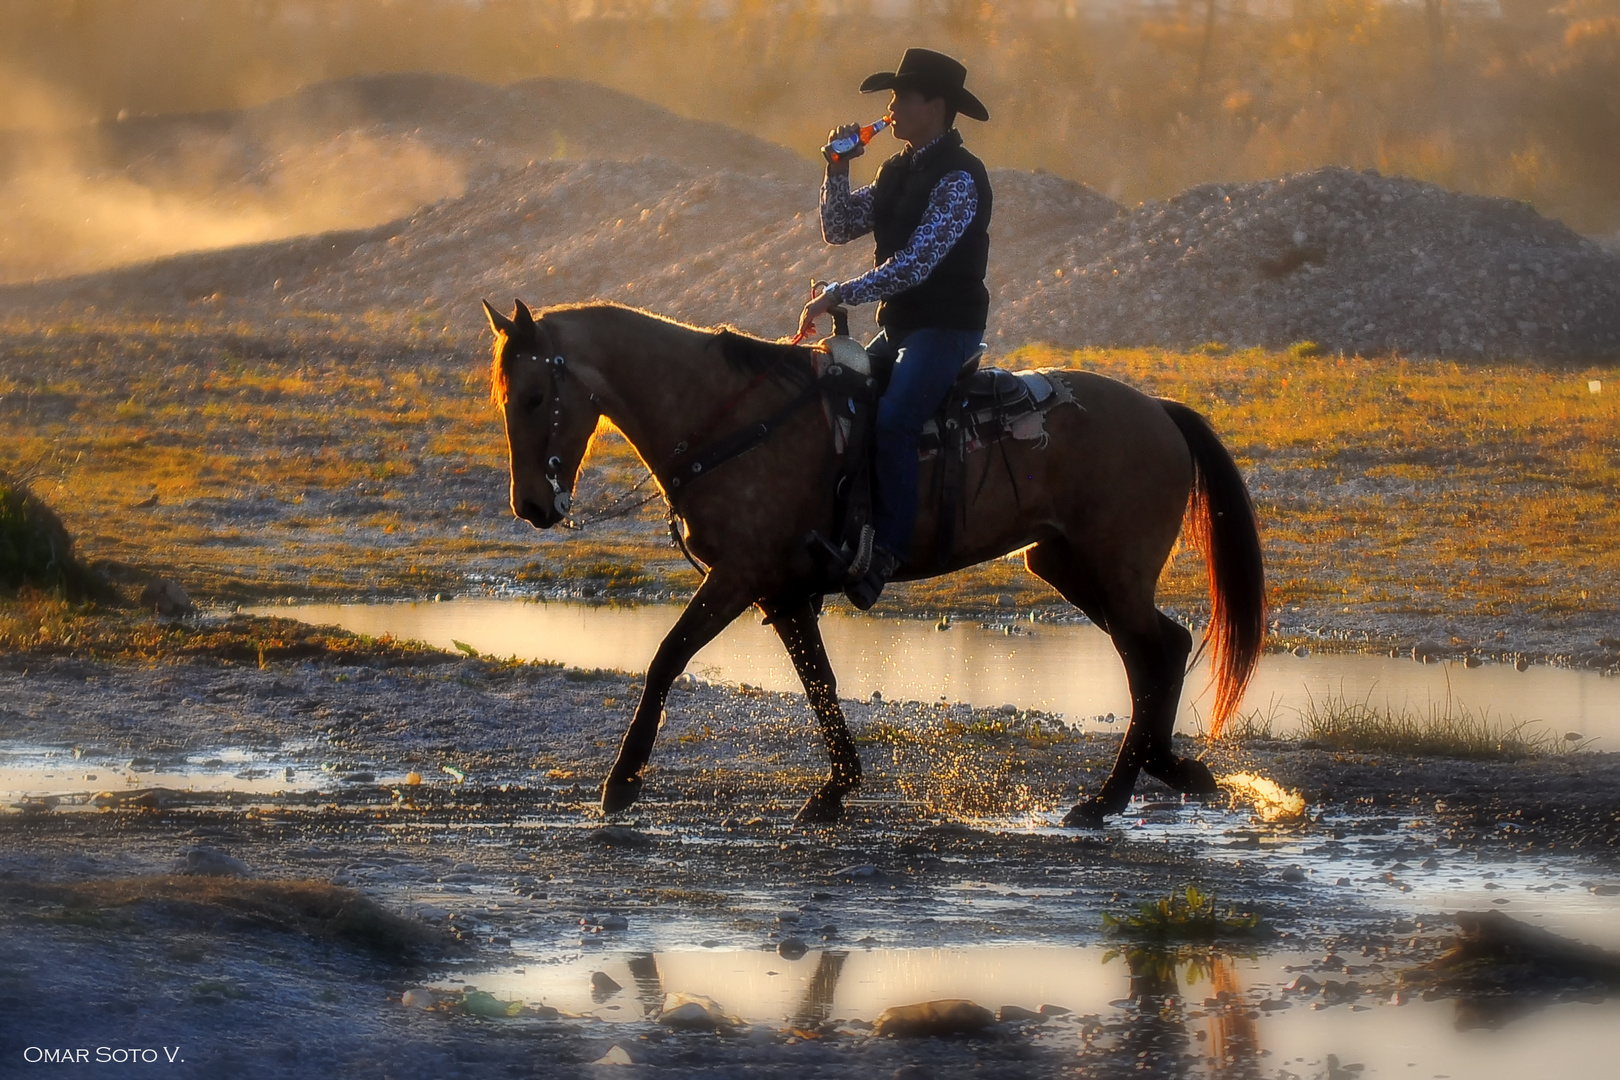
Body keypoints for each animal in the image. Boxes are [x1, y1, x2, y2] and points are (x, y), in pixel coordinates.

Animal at [479, 297, 1263, 829]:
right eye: (505, 397)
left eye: (537, 395)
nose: (533, 505)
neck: (730, 420)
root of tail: (1159, 410)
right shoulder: (781, 591)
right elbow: (819, 683)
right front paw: (835, 790)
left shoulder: (737, 576)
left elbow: (666, 658)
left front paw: (621, 784)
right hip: (1066, 565)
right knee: (1163, 649)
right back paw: (1159, 775)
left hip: (1113, 571)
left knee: (1153, 656)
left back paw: (1113, 795)